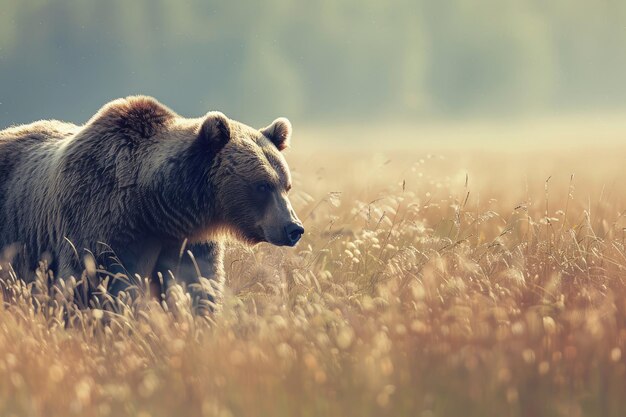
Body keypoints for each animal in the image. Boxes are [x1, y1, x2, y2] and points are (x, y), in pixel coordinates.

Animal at [0, 95, 302, 308]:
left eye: (286, 185)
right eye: (262, 185)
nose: (294, 228)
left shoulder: (188, 241)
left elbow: (197, 286)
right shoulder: (98, 224)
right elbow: (93, 288)